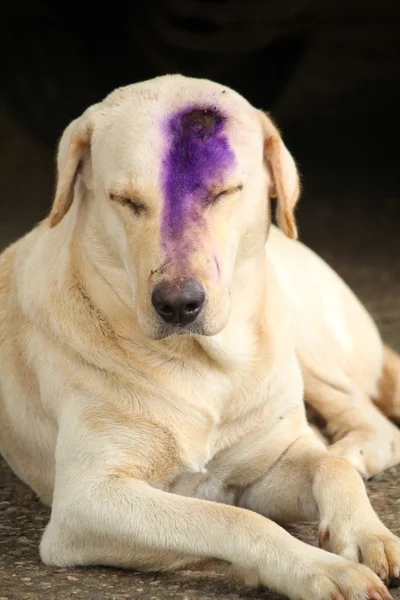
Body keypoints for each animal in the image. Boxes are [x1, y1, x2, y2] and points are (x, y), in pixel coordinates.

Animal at [0, 76, 400, 600]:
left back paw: (343, 450)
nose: (177, 304)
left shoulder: (262, 463)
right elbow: (235, 519)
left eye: (225, 192)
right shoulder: (87, 502)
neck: (202, 366)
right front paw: (320, 569)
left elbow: (328, 470)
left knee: (369, 425)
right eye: (125, 201)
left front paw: (366, 533)